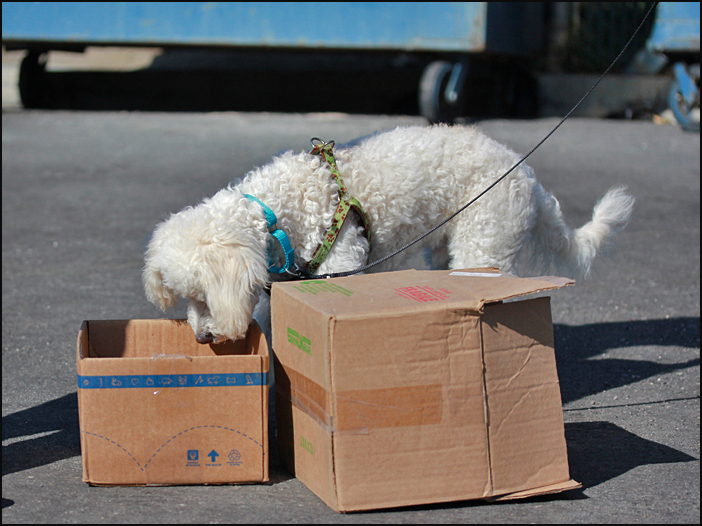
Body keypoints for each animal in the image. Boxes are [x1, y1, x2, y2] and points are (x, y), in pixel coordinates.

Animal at [143, 124, 634, 344]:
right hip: (446, 249)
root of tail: (526, 175)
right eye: (189, 300)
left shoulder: (340, 263)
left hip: (485, 241)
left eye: (204, 297)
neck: (277, 212)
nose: (202, 338)